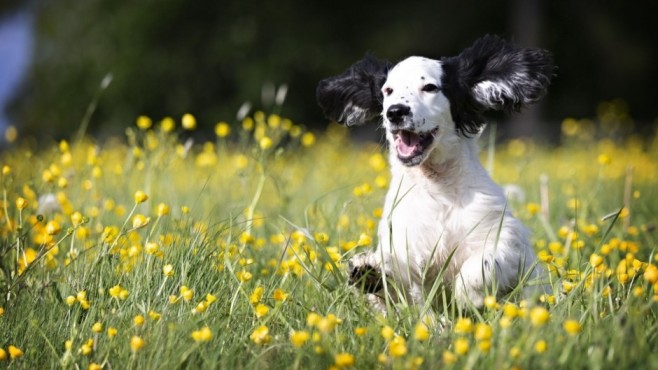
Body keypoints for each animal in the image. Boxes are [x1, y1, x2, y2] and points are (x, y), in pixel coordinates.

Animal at [316, 35, 552, 312]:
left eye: (430, 87)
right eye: (387, 91)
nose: (395, 111)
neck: (437, 187)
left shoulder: (506, 240)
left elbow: (482, 263)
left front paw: (468, 296)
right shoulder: (405, 247)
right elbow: (396, 285)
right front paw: (369, 272)